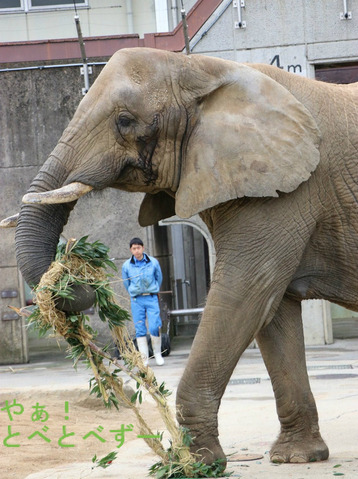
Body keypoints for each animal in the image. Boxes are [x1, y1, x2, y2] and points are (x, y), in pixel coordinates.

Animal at [4, 47, 358, 468]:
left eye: (125, 121)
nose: (81, 283)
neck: (203, 67)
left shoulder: (289, 192)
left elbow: (245, 291)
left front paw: (192, 462)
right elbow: (272, 308)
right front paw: (295, 458)